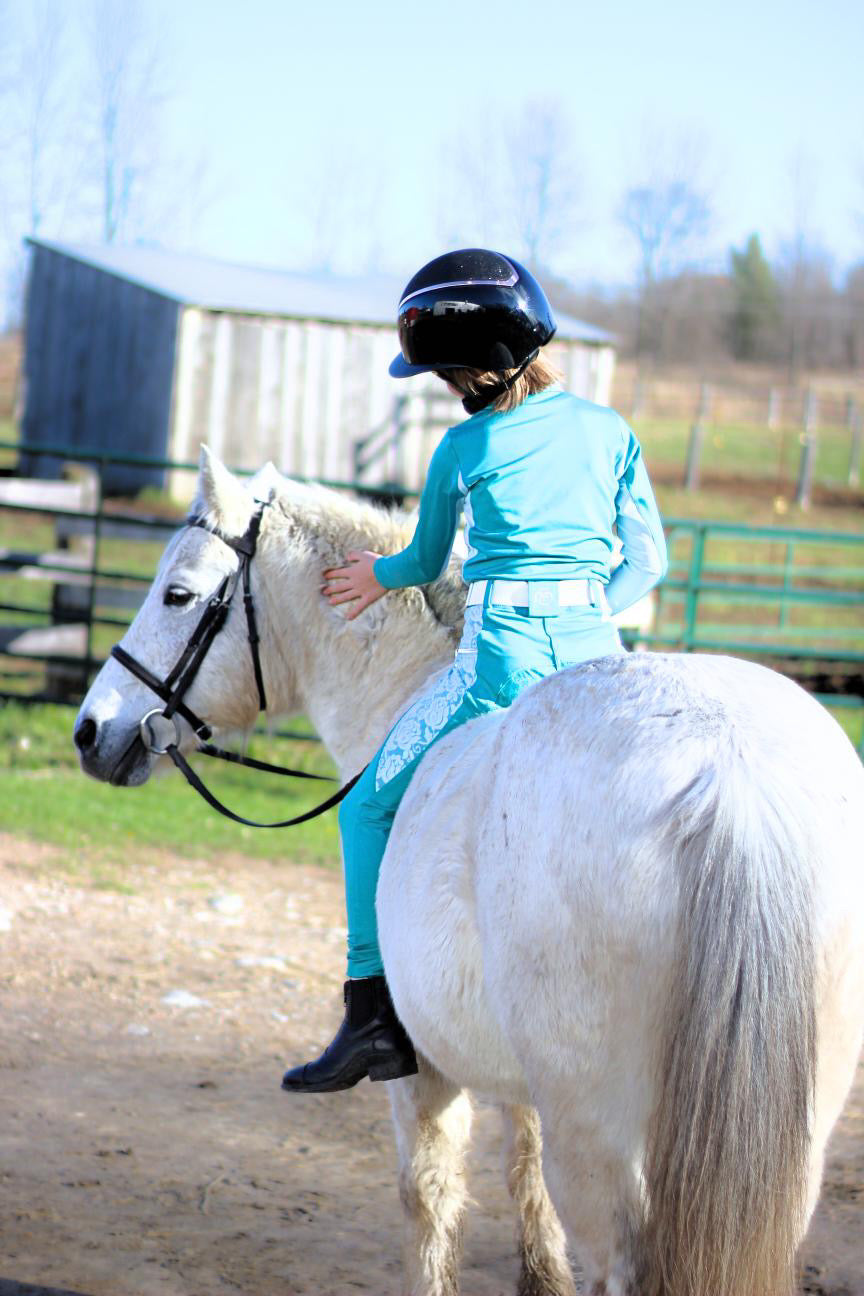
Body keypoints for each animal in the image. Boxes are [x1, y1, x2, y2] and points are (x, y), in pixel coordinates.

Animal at [76, 453, 864, 1296]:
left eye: (177, 593)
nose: (91, 730)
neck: (410, 686)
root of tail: (727, 768)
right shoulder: (521, 1079)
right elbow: (527, 1176)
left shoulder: (422, 1069)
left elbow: (428, 1193)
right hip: (788, 1143)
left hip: (605, 1139)